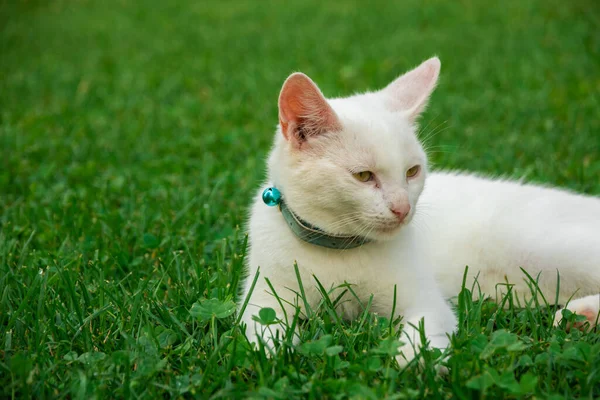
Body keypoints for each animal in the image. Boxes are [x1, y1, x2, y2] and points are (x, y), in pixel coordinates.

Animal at [239, 56, 600, 366]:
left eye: (412, 171)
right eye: (363, 176)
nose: (403, 208)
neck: (338, 249)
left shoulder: (425, 299)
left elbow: (424, 329)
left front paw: (414, 361)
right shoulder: (264, 297)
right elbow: (260, 328)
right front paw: (271, 354)